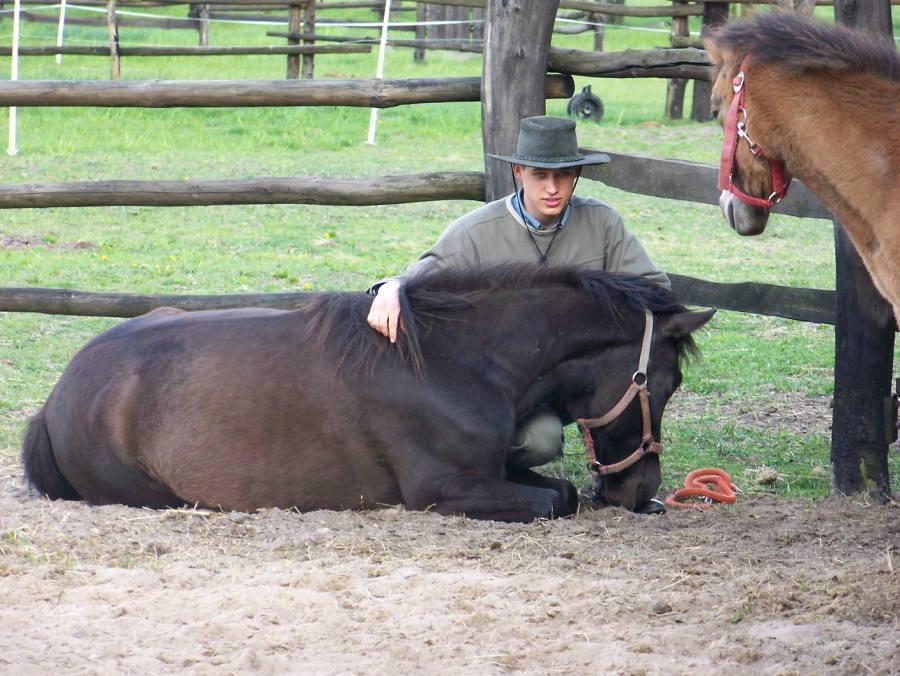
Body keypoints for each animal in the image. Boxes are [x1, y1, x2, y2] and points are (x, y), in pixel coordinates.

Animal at [21, 264, 712, 524]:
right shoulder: (443, 490)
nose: (641, 490)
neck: (455, 359)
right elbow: (556, 499)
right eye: (666, 382)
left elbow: (554, 488)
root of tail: (54, 403)